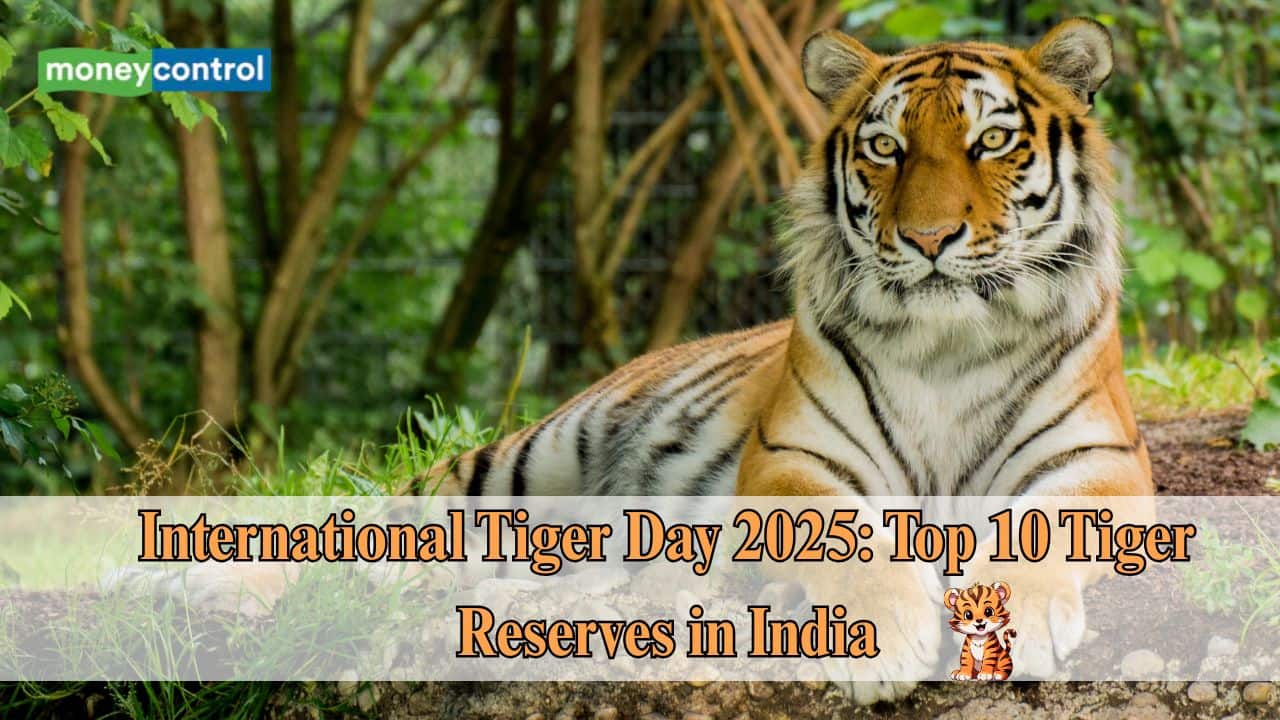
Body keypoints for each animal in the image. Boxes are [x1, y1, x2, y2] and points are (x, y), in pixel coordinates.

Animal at [410, 17, 1154, 704]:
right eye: (886, 147)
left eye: (992, 141)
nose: (928, 237)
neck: (947, 344)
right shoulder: (788, 455)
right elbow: (842, 537)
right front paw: (881, 640)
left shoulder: (1102, 458)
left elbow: (1043, 525)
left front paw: (1015, 617)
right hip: (531, 458)